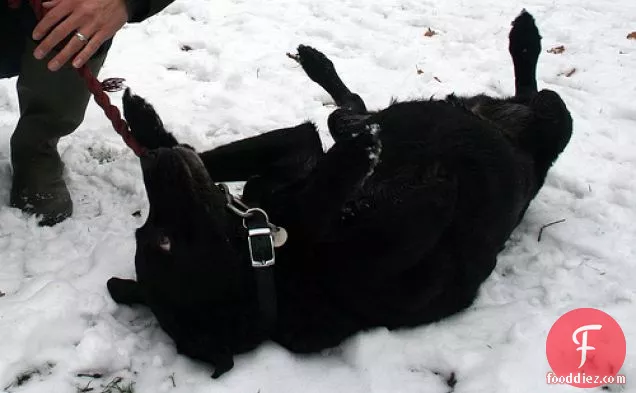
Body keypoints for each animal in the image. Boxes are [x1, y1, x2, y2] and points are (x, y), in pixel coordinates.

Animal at [108, 10, 572, 376]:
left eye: (149, 235)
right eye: (162, 241)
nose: (154, 164)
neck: (272, 261)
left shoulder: (293, 153)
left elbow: (211, 155)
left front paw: (144, 124)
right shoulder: (406, 225)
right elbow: (321, 202)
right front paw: (359, 153)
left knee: (352, 106)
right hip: (555, 118)